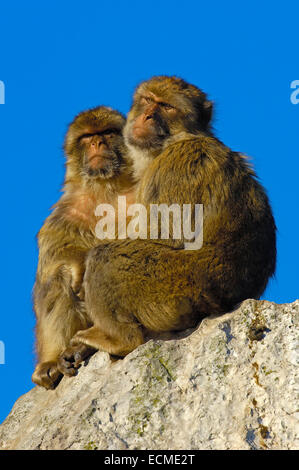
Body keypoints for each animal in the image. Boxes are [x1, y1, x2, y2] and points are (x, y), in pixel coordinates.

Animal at [31, 106, 134, 390]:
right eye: (87, 138)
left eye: (107, 133)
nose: (97, 143)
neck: (107, 187)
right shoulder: (69, 206)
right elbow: (53, 248)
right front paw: (77, 265)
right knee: (56, 279)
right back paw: (53, 361)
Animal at [59, 76, 278, 364]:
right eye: (148, 100)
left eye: (167, 107)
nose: (148, 115)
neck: (172, 143)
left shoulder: (178, 164)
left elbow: (165, 236)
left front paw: (79, 264)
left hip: (177, 287)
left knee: (107, 256)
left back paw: (119, 339)